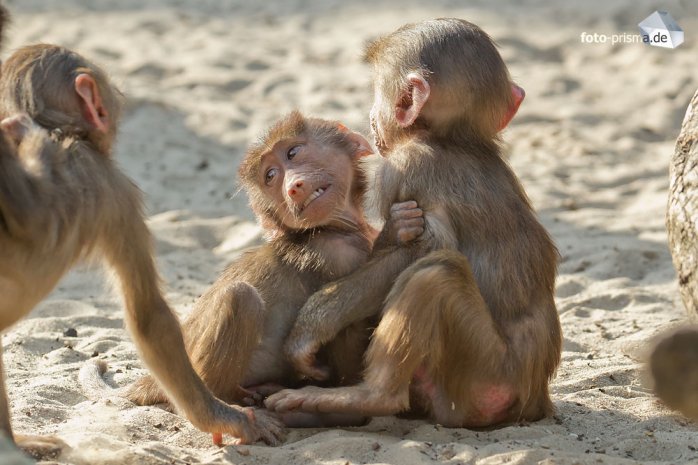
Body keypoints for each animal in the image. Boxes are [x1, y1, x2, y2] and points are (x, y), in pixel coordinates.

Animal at [85, 111, 424, 436]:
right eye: (271, 177)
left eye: (293, 153)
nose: (293, 186)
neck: (334, 226)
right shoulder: (337, 252)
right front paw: (396, 230)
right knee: (241, 297)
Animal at [266, 19, 560, 428]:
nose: (371, 117)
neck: (449, 140)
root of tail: (533, 400)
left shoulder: (401, 168)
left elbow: (424, 248)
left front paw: (310, 328)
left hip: (483, 373)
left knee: (435, 274)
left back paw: (369, 397)